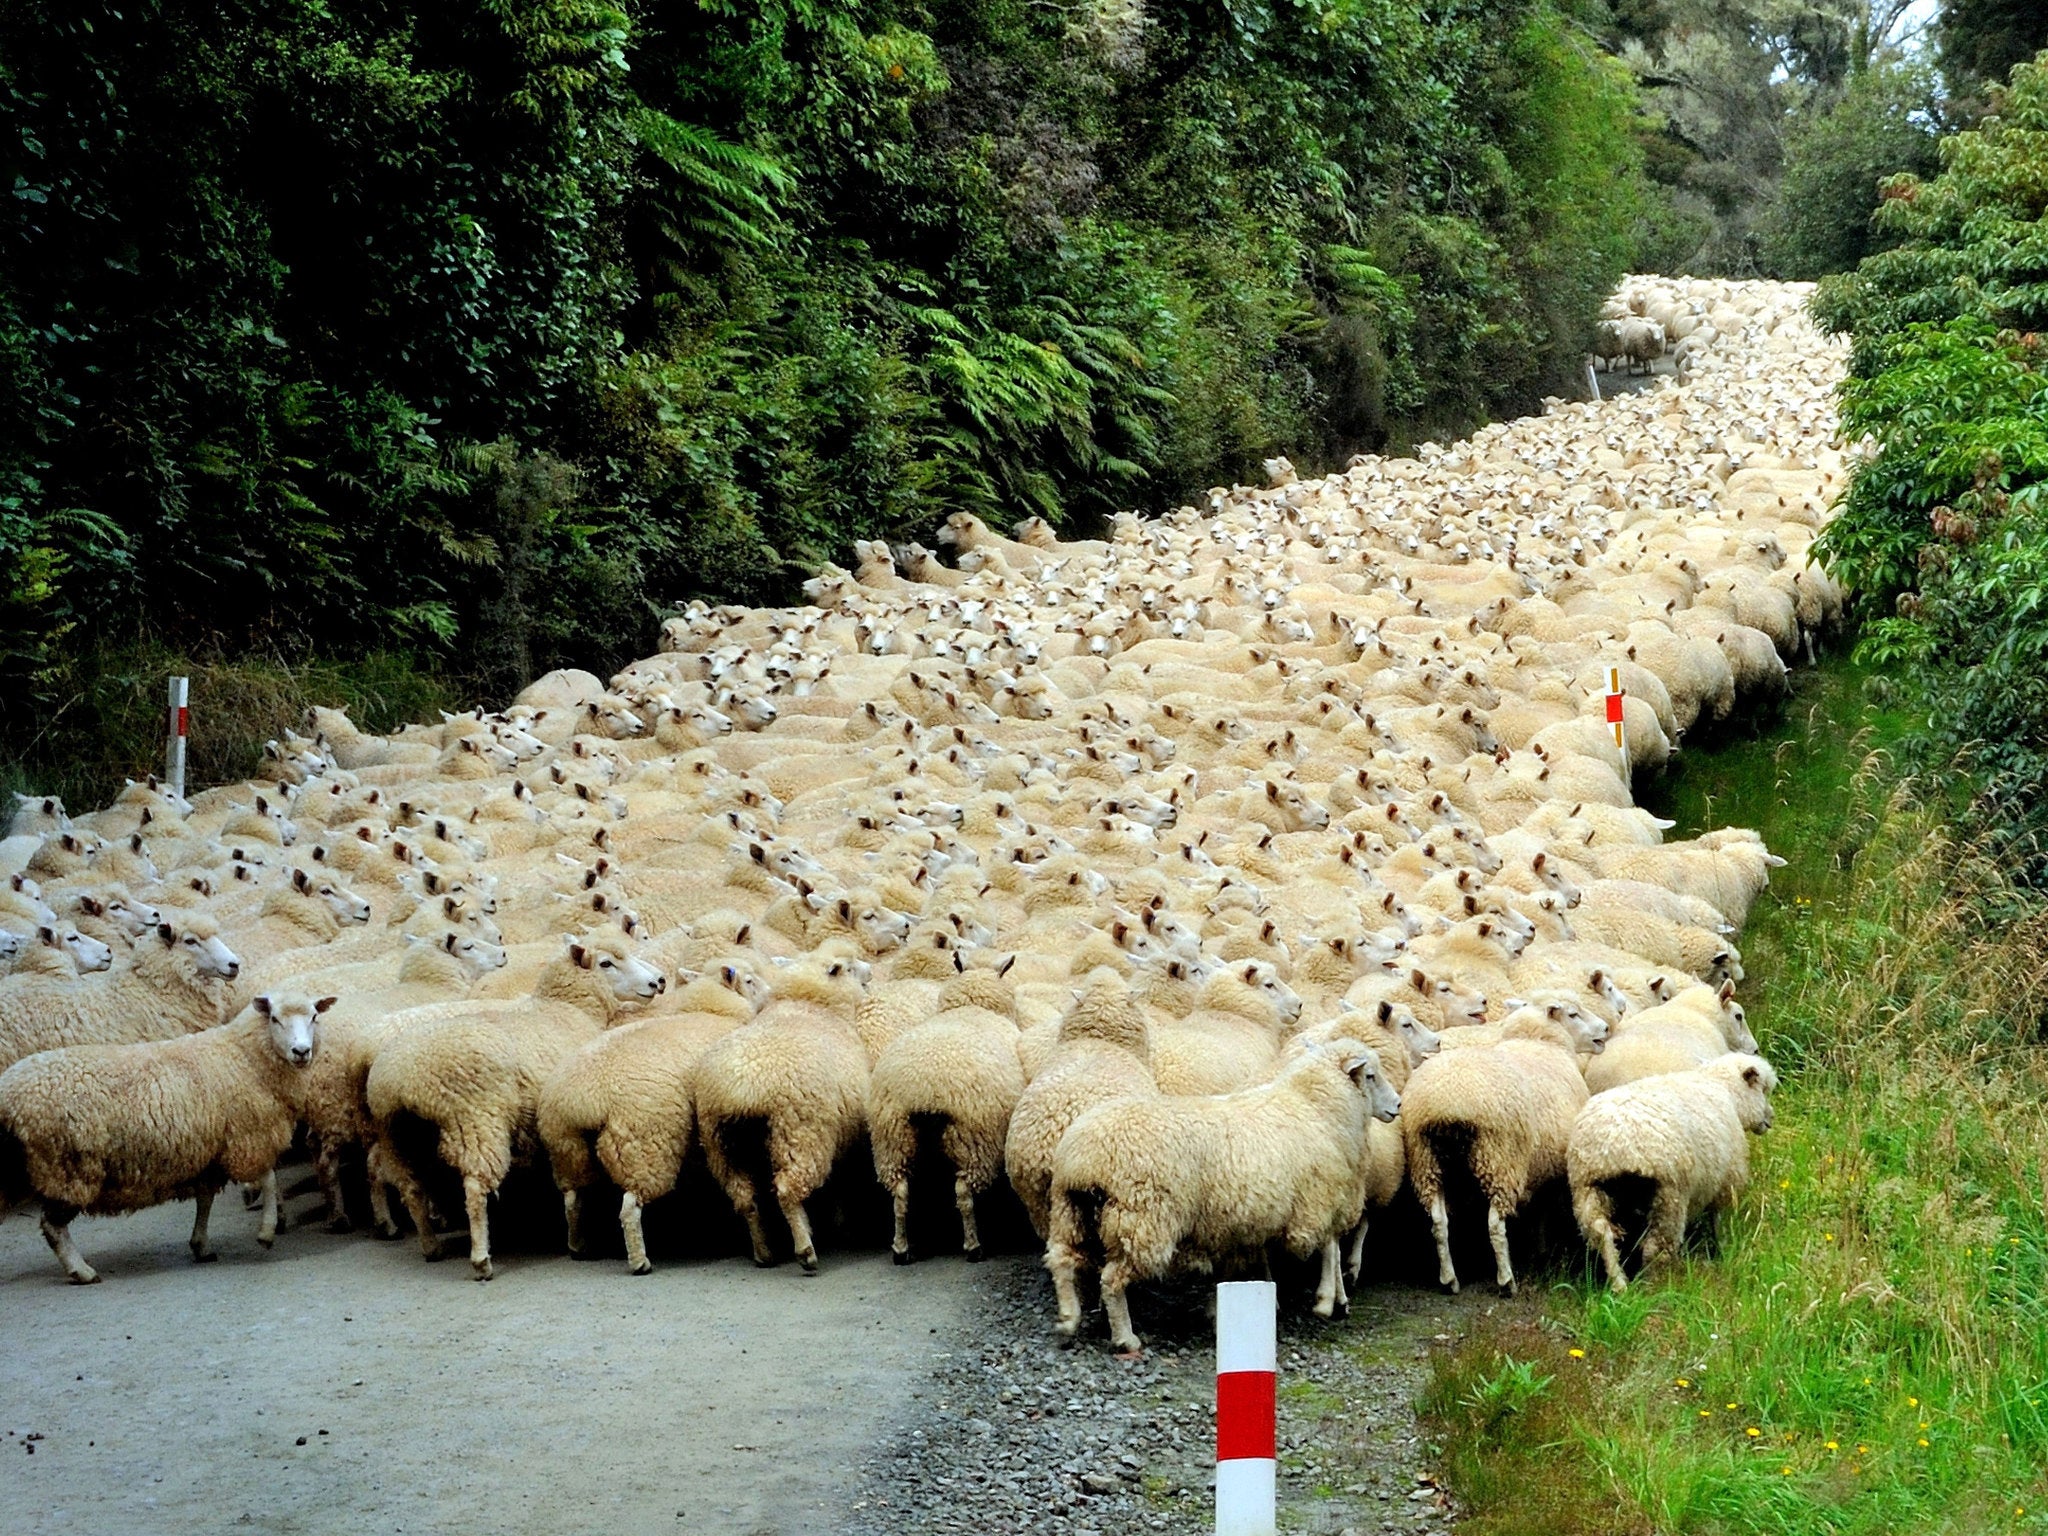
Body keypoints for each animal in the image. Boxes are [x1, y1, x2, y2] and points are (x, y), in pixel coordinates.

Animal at [1, 991, 327, 1277]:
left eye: (314, 1017)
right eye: (274, 1018)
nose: (301, 1051)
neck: (243, 1056)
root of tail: (8, 1093)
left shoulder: (209, 1151)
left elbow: (205, 1199)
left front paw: (200, 1245)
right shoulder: (248, 1138)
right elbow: (270, 1180)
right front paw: (267, 1232)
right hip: (67, 1167)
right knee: (53, 1226)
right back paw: (81, 1270)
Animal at [1048, 1040, 1400, 1351]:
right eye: (1370, 1075)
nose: (1397, 1105)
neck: (1314, 1107)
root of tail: (1086, 1159)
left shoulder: (1256, 1215)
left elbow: (1256, 1258)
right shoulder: (1316, 1199)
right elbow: (1330, 1246)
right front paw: (1328, 1300)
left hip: (1070, 1211)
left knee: (1062, 1260)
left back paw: (1068, 1318)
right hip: (1143, 1219)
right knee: (1111, 1280)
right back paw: (1124, 1337)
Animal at [1400, 1011, 1605, 1302]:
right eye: (1574, 1013)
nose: (1606, 1029)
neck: (1540, 1041)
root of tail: (1449, 1106)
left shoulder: (1540, 1167)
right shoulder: (1546, 1170)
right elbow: (1541, 1212)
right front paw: (1541, 1249)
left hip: (1428, 1163)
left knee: (1439, 1223)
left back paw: (1450, 1278)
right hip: (1500, 1162)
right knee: (1495, 1225)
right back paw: (1506, 1280)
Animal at [1564, 1056, 1777, 1294]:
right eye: (1763, 1089)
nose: (1771, 1118)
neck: (1725, 1089)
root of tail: (1617, 1147)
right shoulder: (1725, 1181)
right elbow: (1717, 1220)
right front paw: (1722, 1248)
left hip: (1589, 1192)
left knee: (1604, 1237)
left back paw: (1620, 1285)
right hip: (1669, 1198)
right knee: (1654, 1246)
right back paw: (1653, 1287)